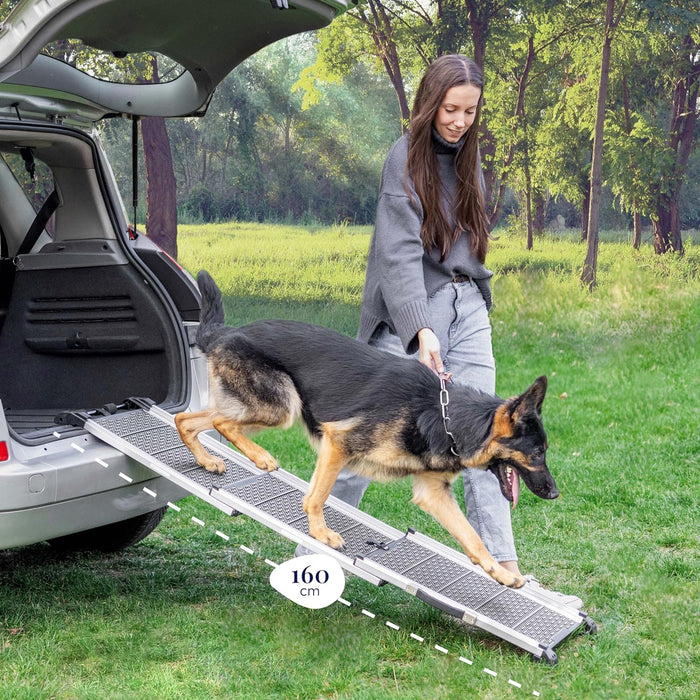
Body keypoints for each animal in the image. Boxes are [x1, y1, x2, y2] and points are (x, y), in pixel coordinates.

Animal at [175, 270, 556, 588]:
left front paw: (503, 575)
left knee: (188, 420)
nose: (554, 494)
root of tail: (227, 333)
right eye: (538, 453)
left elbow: (473, 539)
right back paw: (261, 458)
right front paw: (321, 532)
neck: (445, 416)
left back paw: (208, 460)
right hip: (281, 407)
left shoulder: (433, 493)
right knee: (221, 422)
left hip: (258, 406)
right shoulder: (338, 442)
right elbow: (316, 496)